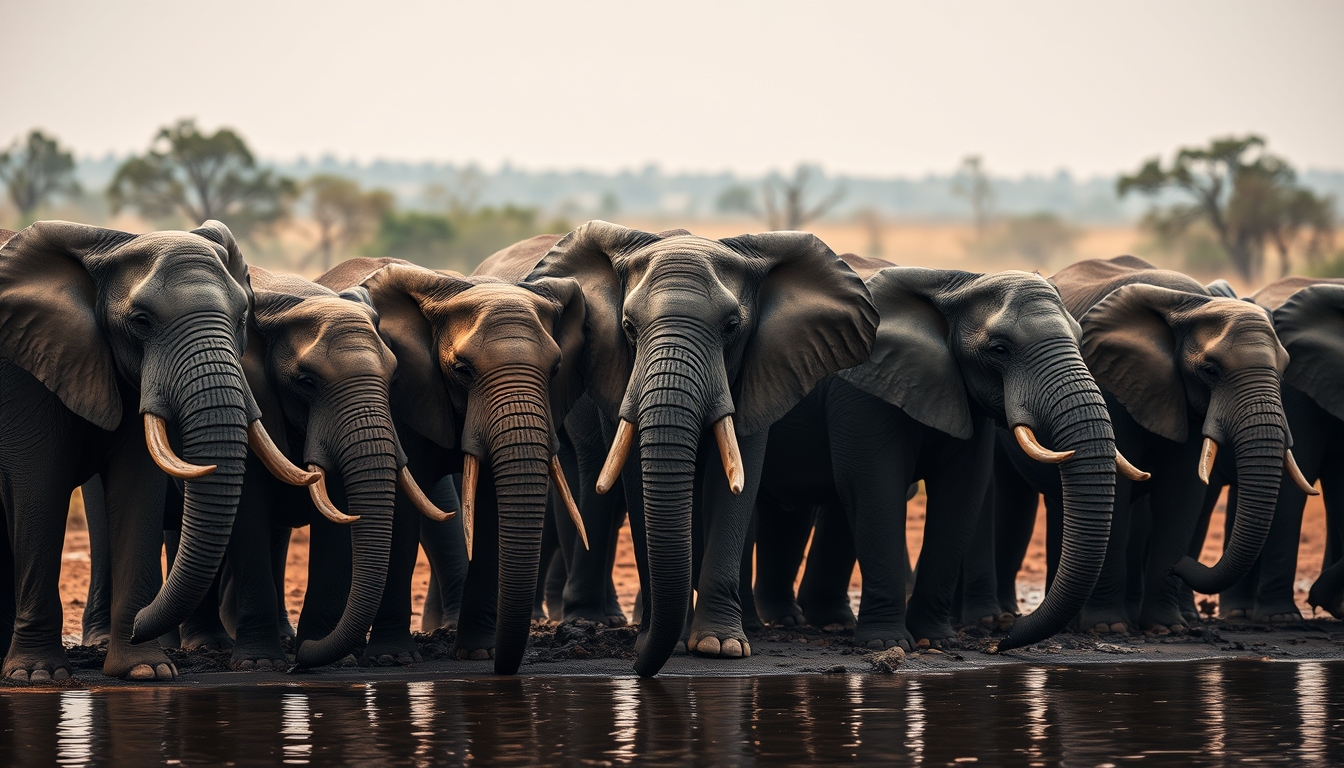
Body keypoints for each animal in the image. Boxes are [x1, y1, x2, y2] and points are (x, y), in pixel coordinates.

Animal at [0, 221, 300, 680]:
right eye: (141, 322)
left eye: (241, 319)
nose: (143, 623)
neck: (107, 244)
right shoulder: (26, 370)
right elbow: (39, 485)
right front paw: (37, 676)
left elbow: (136, 487)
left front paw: (146, 670)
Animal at [318, 258, 588, 674]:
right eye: (462, 370)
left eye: (556, 369)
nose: (505, 669)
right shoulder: (400, 395)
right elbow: (399, 511)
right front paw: (392, 659)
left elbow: (491, 509)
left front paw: (480, 653)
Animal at [478, 222, 878, 676]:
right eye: (628, 326)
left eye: (732, 327)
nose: (640, 669)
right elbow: (635, 480)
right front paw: (658, 641)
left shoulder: (762, 366)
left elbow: (734, 480)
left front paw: (721, 646)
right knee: (590, 479)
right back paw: (591, 620)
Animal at [752, 262, 1120, 651]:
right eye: (999, 350)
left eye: (1079, 340)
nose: (1003, 639)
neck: (957, 284)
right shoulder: (861, 395)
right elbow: (875, 488)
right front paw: (887, 644)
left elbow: (961, 492)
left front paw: (937, 641)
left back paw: (822, 623)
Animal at [991, 255, 1300, 635]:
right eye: (1210, 370)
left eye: (1284, 371)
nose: (1184, 565)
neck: (1192, 304)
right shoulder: (1112, 383)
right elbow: (1119, 490)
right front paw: (1108, 628)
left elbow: (1182, 491)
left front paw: (1168, 629)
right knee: (1014, 500)